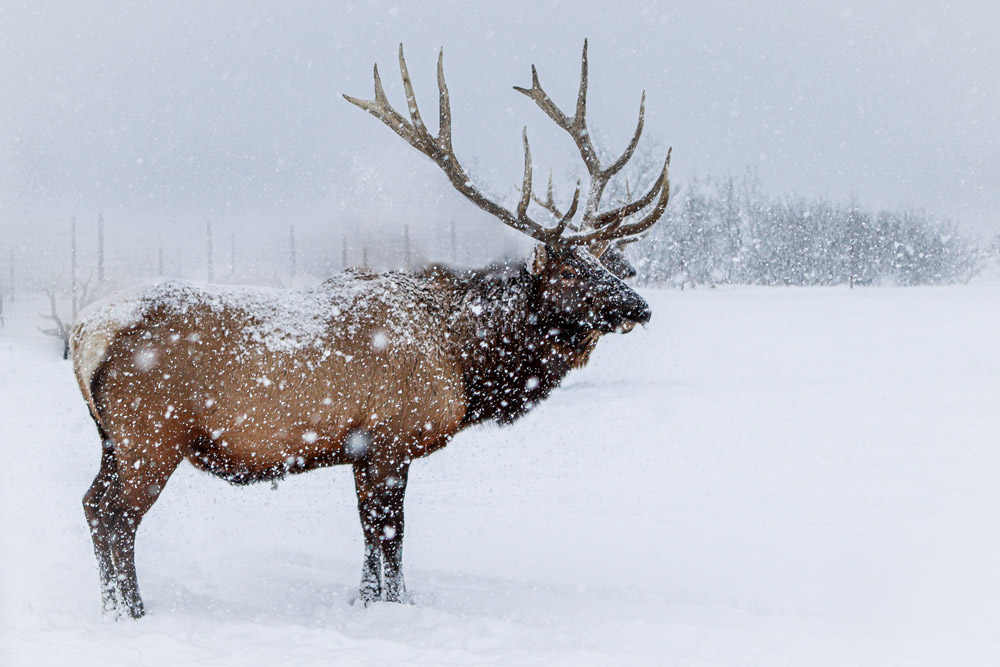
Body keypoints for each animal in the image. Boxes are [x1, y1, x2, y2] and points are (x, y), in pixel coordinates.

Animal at [74, 41, 668, 620]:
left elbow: (368, 536)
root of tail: (84, 335)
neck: (464, 362)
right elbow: (390, 534)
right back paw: (133, 612)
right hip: (150, 437)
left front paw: (363, 600)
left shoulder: (362, 450)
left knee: (92, 504)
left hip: (113, 439)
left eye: (604, 261)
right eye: (569, 270)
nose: (641, 307)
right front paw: (398, 605)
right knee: (114, 514)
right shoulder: (390, 438)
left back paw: (115, 608)